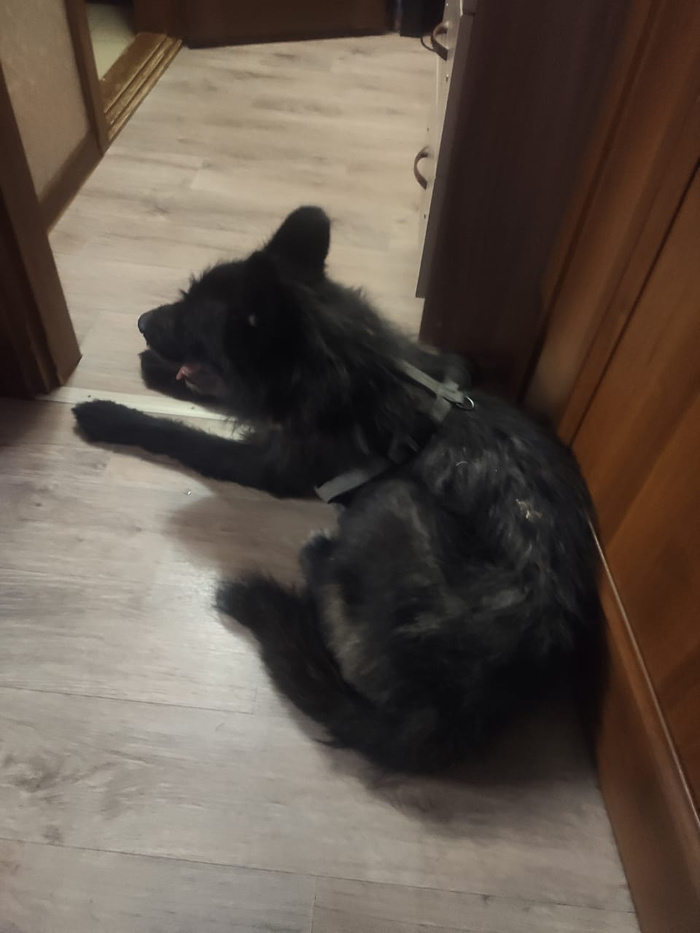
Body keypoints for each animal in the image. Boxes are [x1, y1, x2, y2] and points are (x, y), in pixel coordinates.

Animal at [74, 206, 600, 773]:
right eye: (184, 298)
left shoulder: (268, 463)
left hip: (392, 501)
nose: (142, 323)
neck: (338, 350)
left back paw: (315, 559)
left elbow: (182, 436)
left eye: (192, 320)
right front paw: (158, 371)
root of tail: (450, 715)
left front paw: (112, 416)